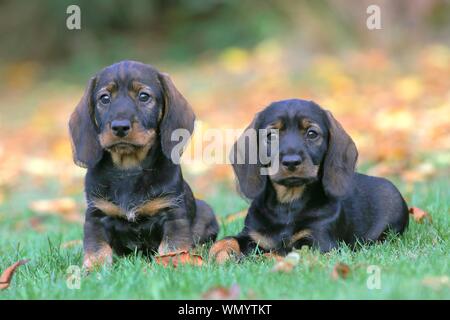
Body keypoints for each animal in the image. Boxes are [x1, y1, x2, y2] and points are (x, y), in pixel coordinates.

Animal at [68, 60, 220, 270]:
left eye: (144, 96)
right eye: (104, 98)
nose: (120, 127)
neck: (128, 170)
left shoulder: (173, 214)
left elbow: (172, 247)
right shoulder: (96, 216)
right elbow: (97, 250)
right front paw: (91, 270)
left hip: (205, 211)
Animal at [209, 100, 410, 262]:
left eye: (312, 134)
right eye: (270, 135)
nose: (291, 162)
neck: (288, 205)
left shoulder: (318, 243)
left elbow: (280, 252)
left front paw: (249, 259)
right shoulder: (252, 234)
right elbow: (227, 240)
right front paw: (219, 254)